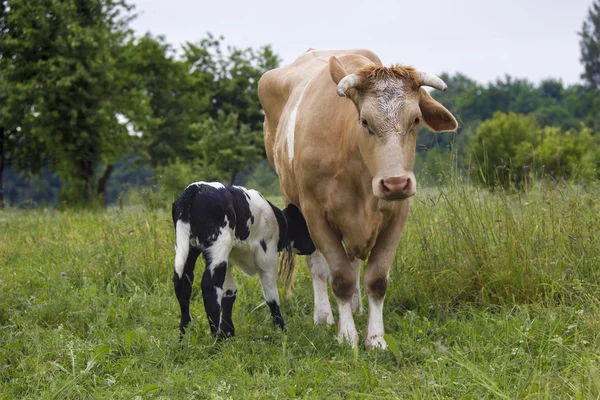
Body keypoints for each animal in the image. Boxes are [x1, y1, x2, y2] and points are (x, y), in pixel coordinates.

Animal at [171, 183, 314, 340]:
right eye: (305, 224)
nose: (314, 245)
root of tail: (197, 187)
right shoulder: (267, 259)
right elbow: (271, 296)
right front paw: (282, 331)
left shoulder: (229, 259)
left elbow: (230, 291)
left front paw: (228, 333)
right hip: (218, 247)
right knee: (210, 286)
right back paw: (216, 339)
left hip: (188, 248)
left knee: (183, 284)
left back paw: (184, 337)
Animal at [255, 49, 458, 350]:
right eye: (364, 121)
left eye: (416, 120)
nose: (395, 183)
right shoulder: (316, 217)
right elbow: (339, 277)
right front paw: (346, 335)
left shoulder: (397, 216)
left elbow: (376, 279)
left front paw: (375, 337)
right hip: (297, 208)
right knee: (318, 268)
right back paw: (325, 316)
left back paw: (353, 307)